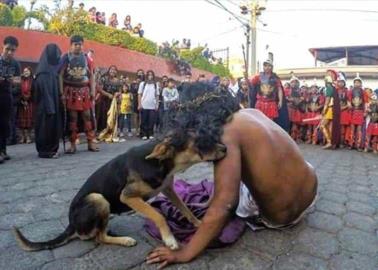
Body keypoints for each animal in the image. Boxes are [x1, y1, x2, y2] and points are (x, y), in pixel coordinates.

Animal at [14, 133, 227, 251]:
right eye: (200, 143)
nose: (226, 148)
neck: (159, 163)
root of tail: (71, 225)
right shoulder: (127, 196)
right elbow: (157, 215)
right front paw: (170, 239)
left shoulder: (167, 189)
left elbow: (186, 209)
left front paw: (199, 223)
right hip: (98, 199)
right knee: (97, 237)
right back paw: (124, 240)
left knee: (97, 233)